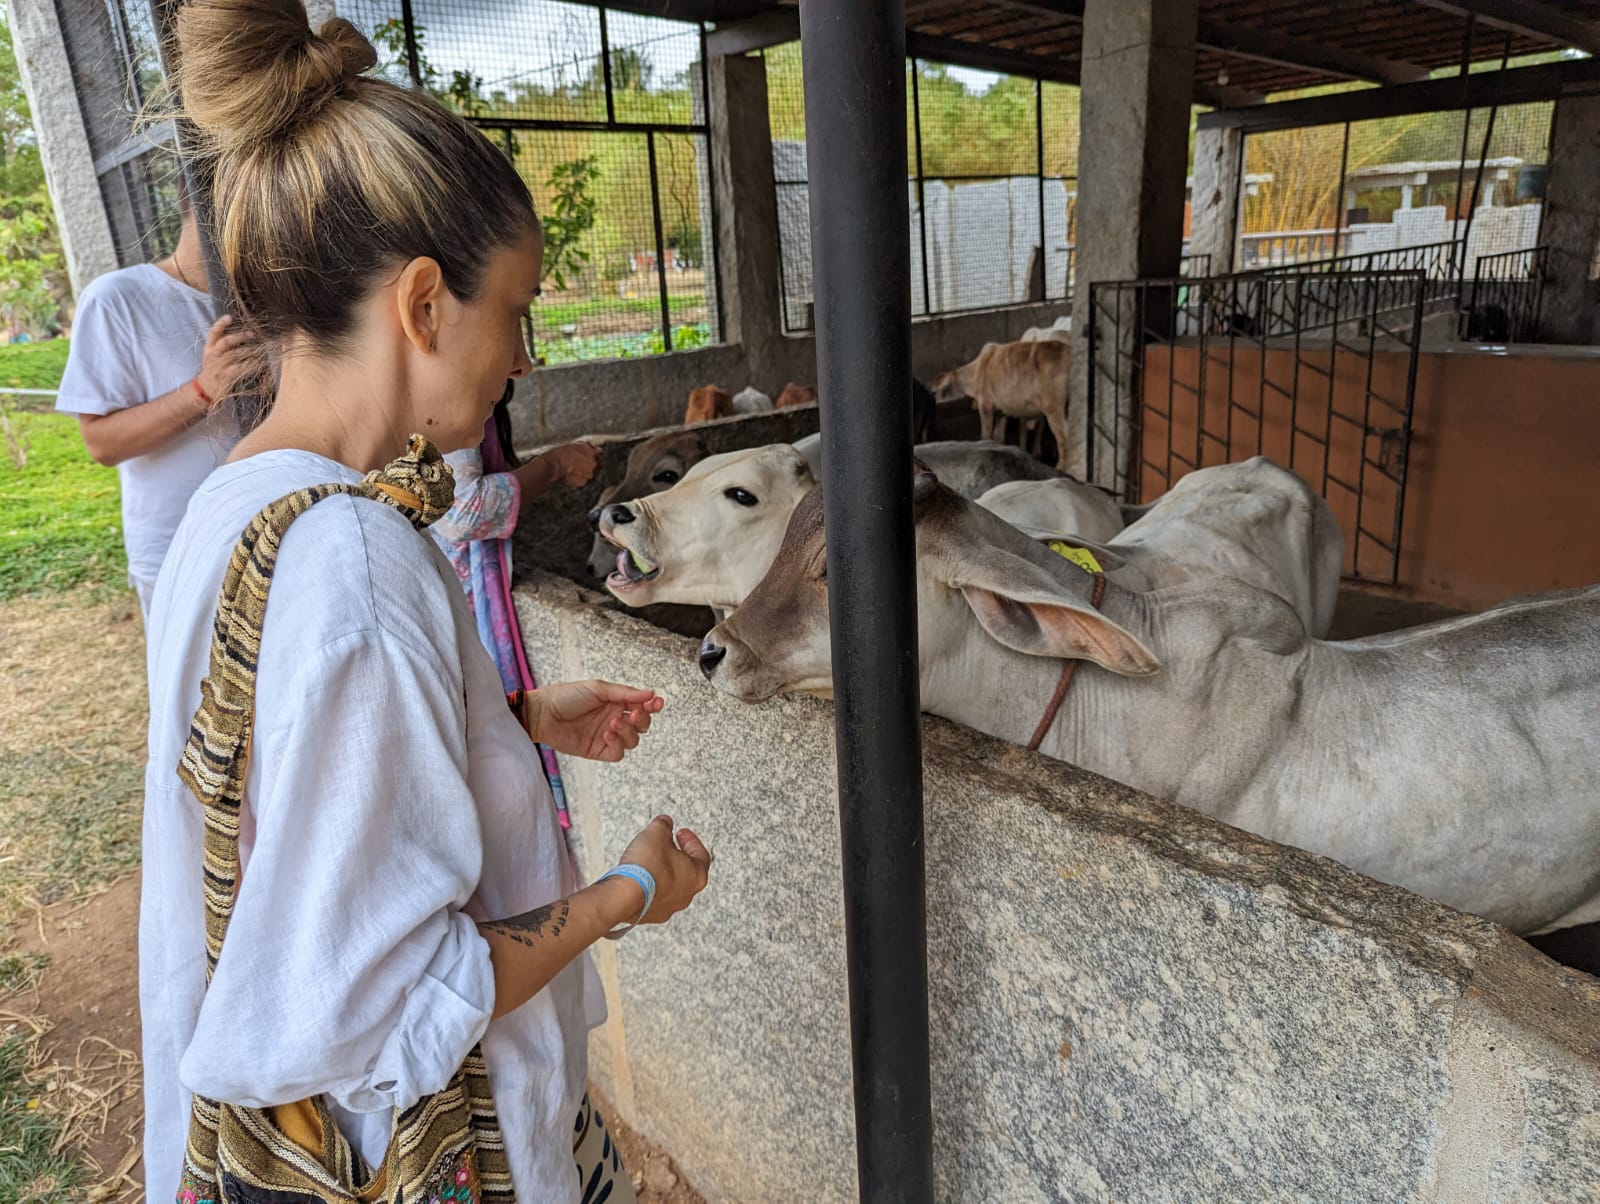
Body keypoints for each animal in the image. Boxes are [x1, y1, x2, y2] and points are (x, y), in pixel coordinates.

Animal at [934, 341, 1068, 473]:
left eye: (940, 391)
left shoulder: (985, 404)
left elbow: (986, 434)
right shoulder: (1002, 410)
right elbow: (999, 437)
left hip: (1053, 407)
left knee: (1063, 436)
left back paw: (1061, 468)